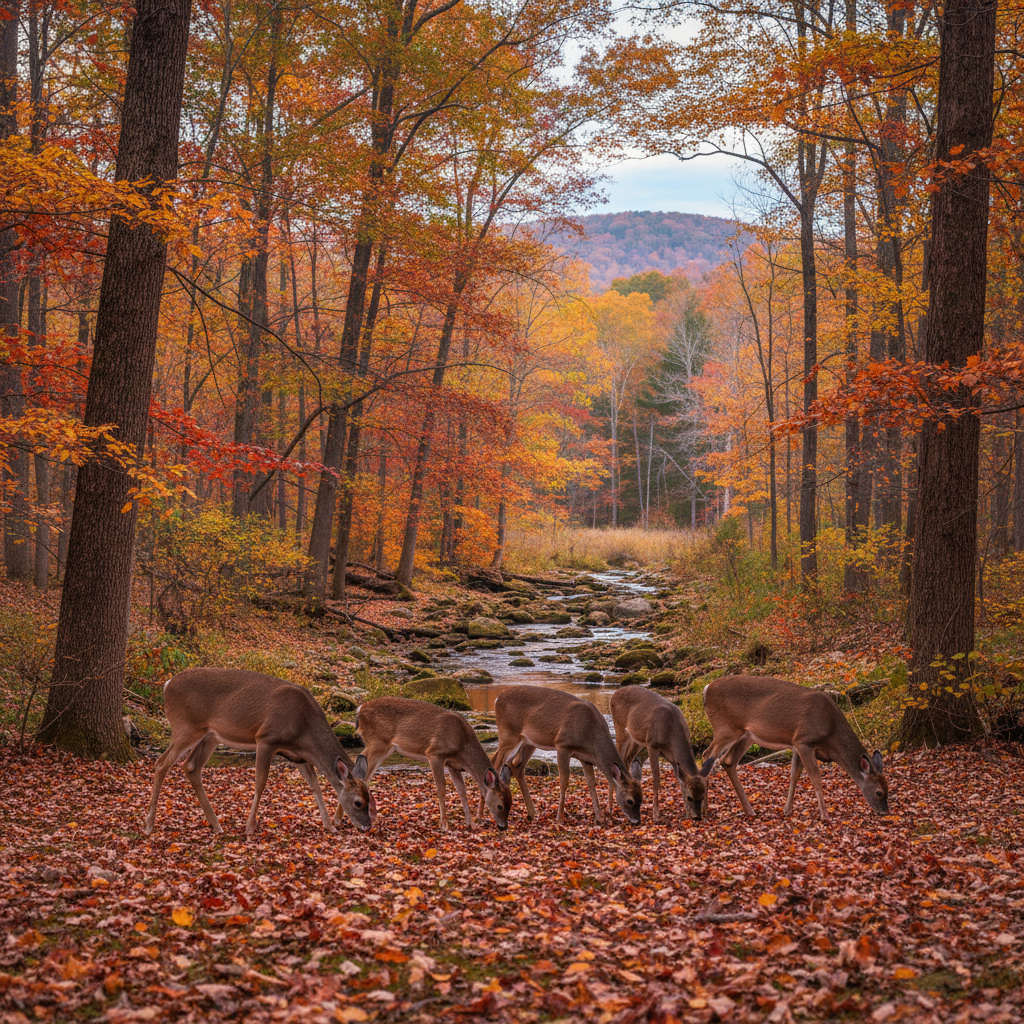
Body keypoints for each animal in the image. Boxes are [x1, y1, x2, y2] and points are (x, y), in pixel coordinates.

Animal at [144, 668, 375, 836]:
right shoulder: (266, 739)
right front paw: (249, 827)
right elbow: (260, 783)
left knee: (191, 766)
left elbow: (315, 785)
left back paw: (217, 826)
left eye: (371, 799)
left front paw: (329, 826)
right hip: (185, 726)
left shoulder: (298, 755)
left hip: (210, 735)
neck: (304, 729)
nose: (367, 826)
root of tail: (166, 685)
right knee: (161, 763)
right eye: (358, 802)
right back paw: (148, 826)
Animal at [353, 696, 513, 831]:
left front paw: (471, 823)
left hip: (383, 747)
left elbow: (462, 791)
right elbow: (441, 788)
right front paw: (445, 825)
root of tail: (359, 710)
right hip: (377, 742)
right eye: (500, 806)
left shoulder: (453, 765)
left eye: (510, 804)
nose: (504, 827)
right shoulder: (435, 753)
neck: (462, 744)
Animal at [486, 685, 642, 826]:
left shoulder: (585, 758)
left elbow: (591, 783)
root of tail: (497, 699)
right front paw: (560, 817)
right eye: (630, 801)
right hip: (508, 734)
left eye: (641, 798)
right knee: (496, 763)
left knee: (516, 765)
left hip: (528, 741)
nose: (637, 821)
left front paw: (599, 817)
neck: (590, 735)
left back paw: (532, 813)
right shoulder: (562, 745)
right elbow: (564, 781)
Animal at [609, 685, 716, 823]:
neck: (670, 731)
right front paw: (656, 815)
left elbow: (679, 779)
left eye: (702, 796)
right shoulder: (652, 745)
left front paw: (687, 812)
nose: (697, 817)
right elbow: (656, 780)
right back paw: (611, 807)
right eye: (690, 797)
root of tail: (615, 693)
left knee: (626, 760)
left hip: (636, 738)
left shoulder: (672, 757)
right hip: (620, 727)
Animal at [702, 674, 890, 822]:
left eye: (888, 787)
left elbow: (795, 774)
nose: (885, 812)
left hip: (746, 735)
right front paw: (824, 815)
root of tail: (706, 689)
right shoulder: (804, 741)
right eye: (879, 792)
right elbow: (815, 777)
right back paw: (703, 809)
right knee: (707, 755)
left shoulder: (795, 743)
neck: (830, 733)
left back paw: (749, 810)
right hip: (725, 727)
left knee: (726, 761)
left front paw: (787, 810)